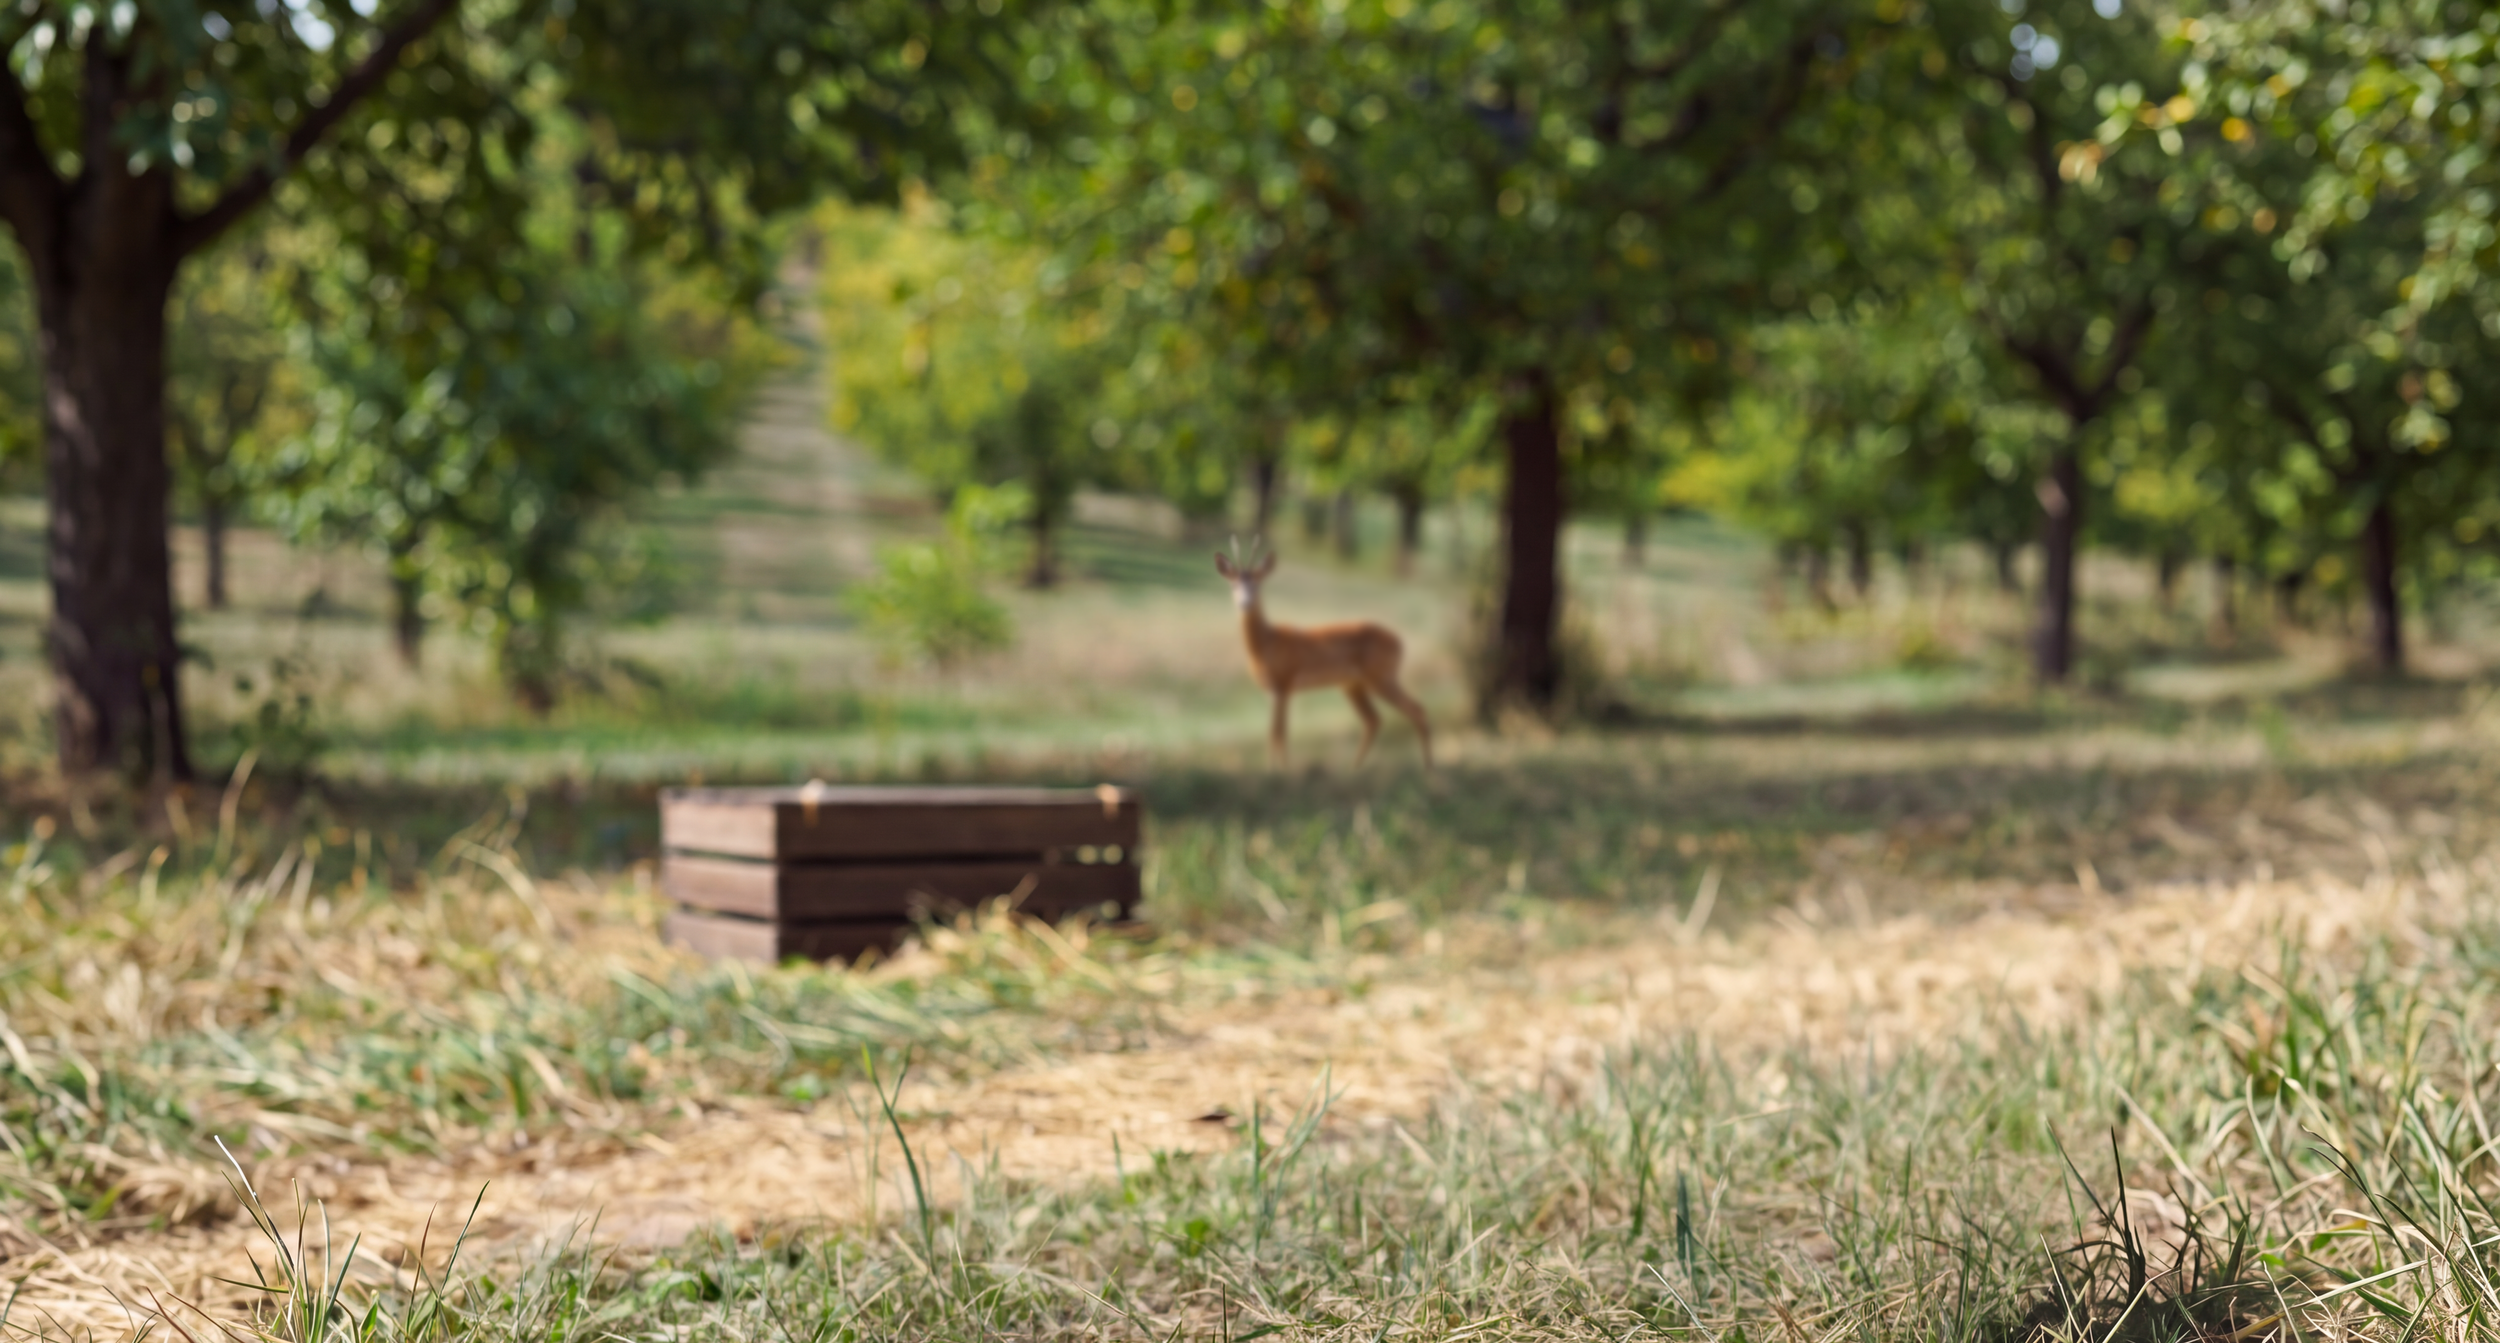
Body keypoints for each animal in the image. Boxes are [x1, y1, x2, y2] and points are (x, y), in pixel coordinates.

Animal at [1214, 542, 1433, 768]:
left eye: (1257, 584)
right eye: (1233, 585)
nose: (1245, 603)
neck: (1266, 643)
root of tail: (1400, 641)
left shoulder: (1283, 684)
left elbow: (1278, 734)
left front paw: (1279, 770)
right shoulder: (1275, 690)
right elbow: (1276, 733)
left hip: (1382, 676)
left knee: (1417, 710)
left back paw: (1428, 768)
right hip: (1354, 685)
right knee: (1374, 720)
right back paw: (1354, 768)